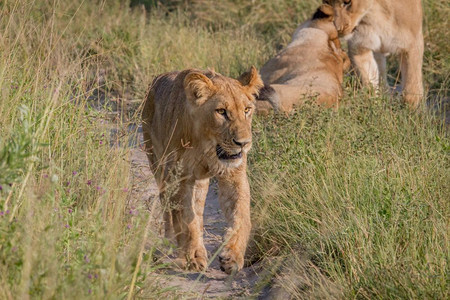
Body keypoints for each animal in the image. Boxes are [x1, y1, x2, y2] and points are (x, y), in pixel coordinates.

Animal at [142, 67, 264, 274]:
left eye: (247, 110)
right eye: (221, 112)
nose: (243, 143)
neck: (206, 145)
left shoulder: (234, 175)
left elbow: (241, 216)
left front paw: (233, 256)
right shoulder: (178, 178)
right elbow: (185, 219)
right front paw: (193, 256)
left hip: (198, 182)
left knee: (197, 210)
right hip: (158, 164)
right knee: (168, 208)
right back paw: (172, 246)